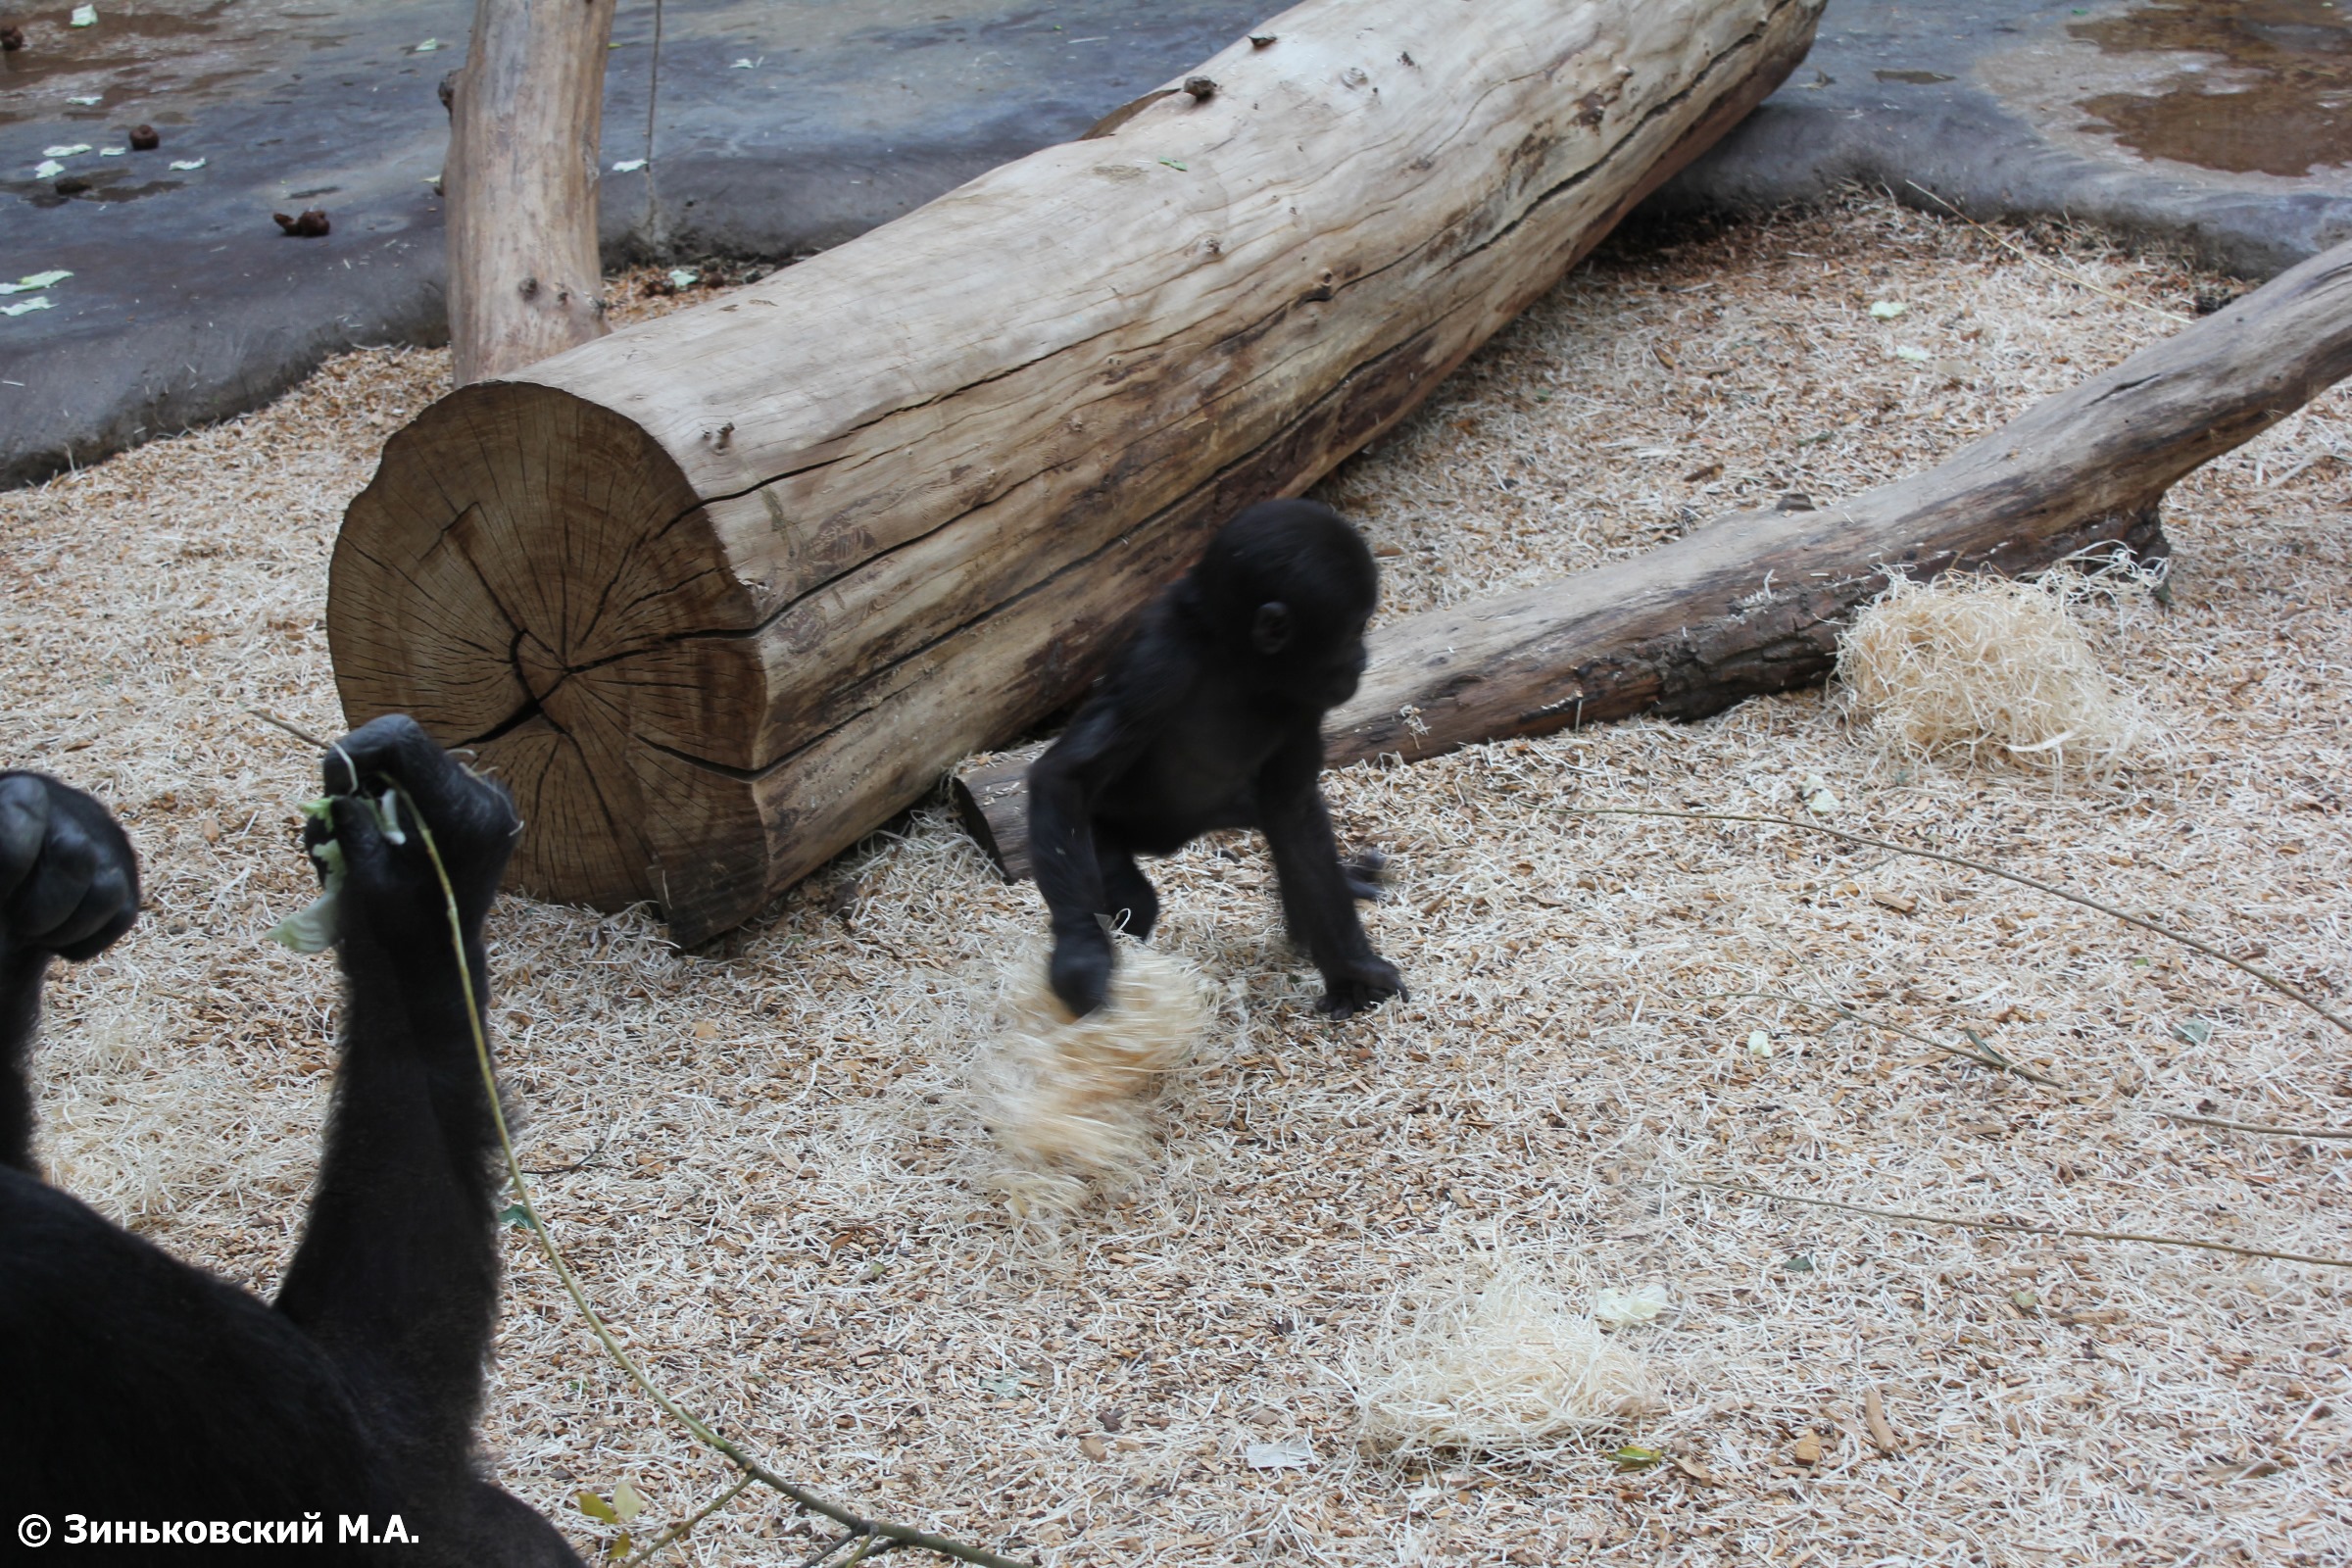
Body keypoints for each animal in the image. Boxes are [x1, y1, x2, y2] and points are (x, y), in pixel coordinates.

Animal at [1027, 498, 1404, 1020]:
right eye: (1353, 632)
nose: (1362, 661)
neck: (1238, 659)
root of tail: (1165, 845)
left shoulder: (1305, 698)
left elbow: (1295, 812)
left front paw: (1349, 967)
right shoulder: (1157, 665)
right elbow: (1067, 777)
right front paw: (1081, 956)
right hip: (1100, 831)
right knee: (1132, 898)